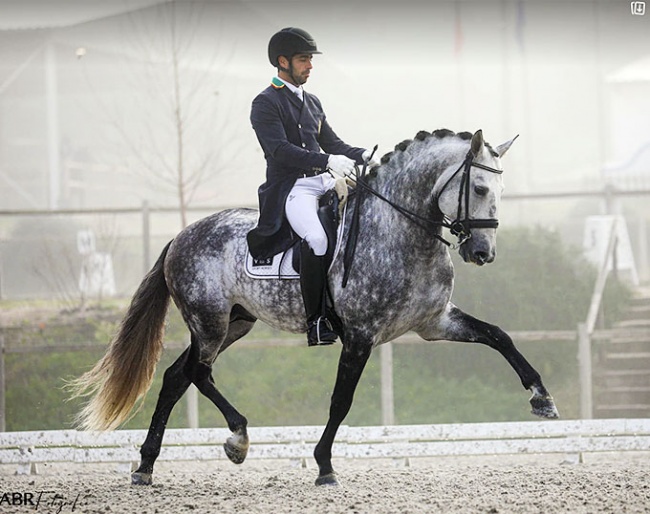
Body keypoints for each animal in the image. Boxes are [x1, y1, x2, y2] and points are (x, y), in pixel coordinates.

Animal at [69, 127, 556, 484]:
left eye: (500, 188)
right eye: (479, 187)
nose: (483, 252)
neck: (398, 230)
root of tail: (181, 236)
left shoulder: (435, 322)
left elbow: (498, 335)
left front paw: (541, 398)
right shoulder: (360, 336)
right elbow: (341, 401)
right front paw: (324, 466)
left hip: (235, 324)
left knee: (175, 377)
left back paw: (146, 466)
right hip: (208, 321)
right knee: (198, 373)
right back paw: (236, 439)